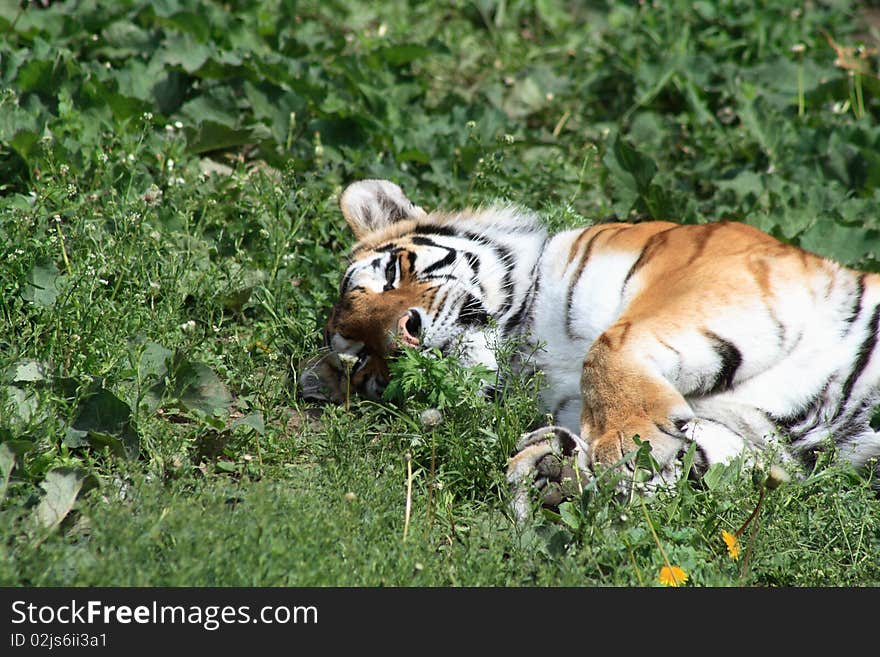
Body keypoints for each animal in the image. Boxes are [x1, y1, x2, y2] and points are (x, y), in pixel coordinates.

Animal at [300, 178, 880, 516]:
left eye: (393, 274)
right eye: (365, 359)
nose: (406, 337)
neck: (522, 348)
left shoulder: (709, 266)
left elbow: (609, 344)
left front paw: (619, 442)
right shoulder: (756, 442)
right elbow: (694, 459)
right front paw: (547, 467)